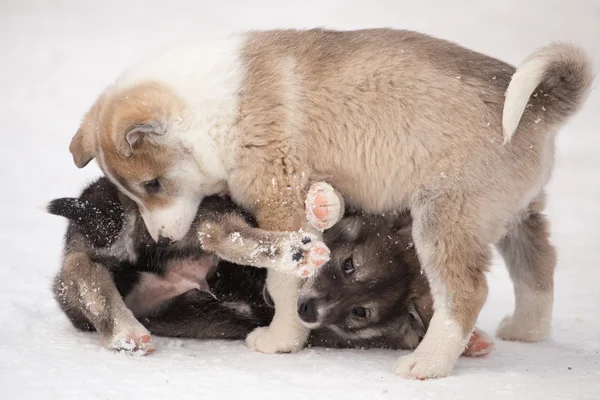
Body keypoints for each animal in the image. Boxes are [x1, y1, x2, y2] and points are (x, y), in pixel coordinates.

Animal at [67, 30, 592, 378]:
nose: (163, 239)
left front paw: (280, 340)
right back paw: (526, 330)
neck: (207, 114)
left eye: (153, 182)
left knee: (465, 292)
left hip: (446, 215)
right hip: (514, 212)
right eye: (133, 190)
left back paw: (427, 363)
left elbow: (283, 281)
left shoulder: (277, 193)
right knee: (538, 264)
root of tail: (540, 105)